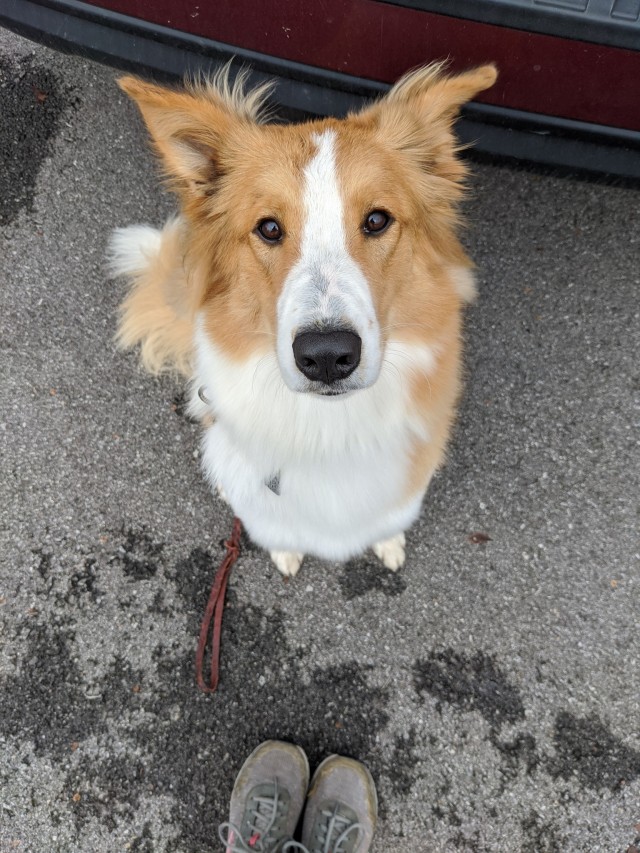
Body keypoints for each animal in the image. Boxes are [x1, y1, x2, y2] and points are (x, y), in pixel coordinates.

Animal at [109, 63, 500, 576]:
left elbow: (390, 518)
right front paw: (286, 551)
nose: (327, 356)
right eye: (269, 228)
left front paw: (388, 542)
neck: (330, 431)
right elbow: (275, 527)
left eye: (377, 220)